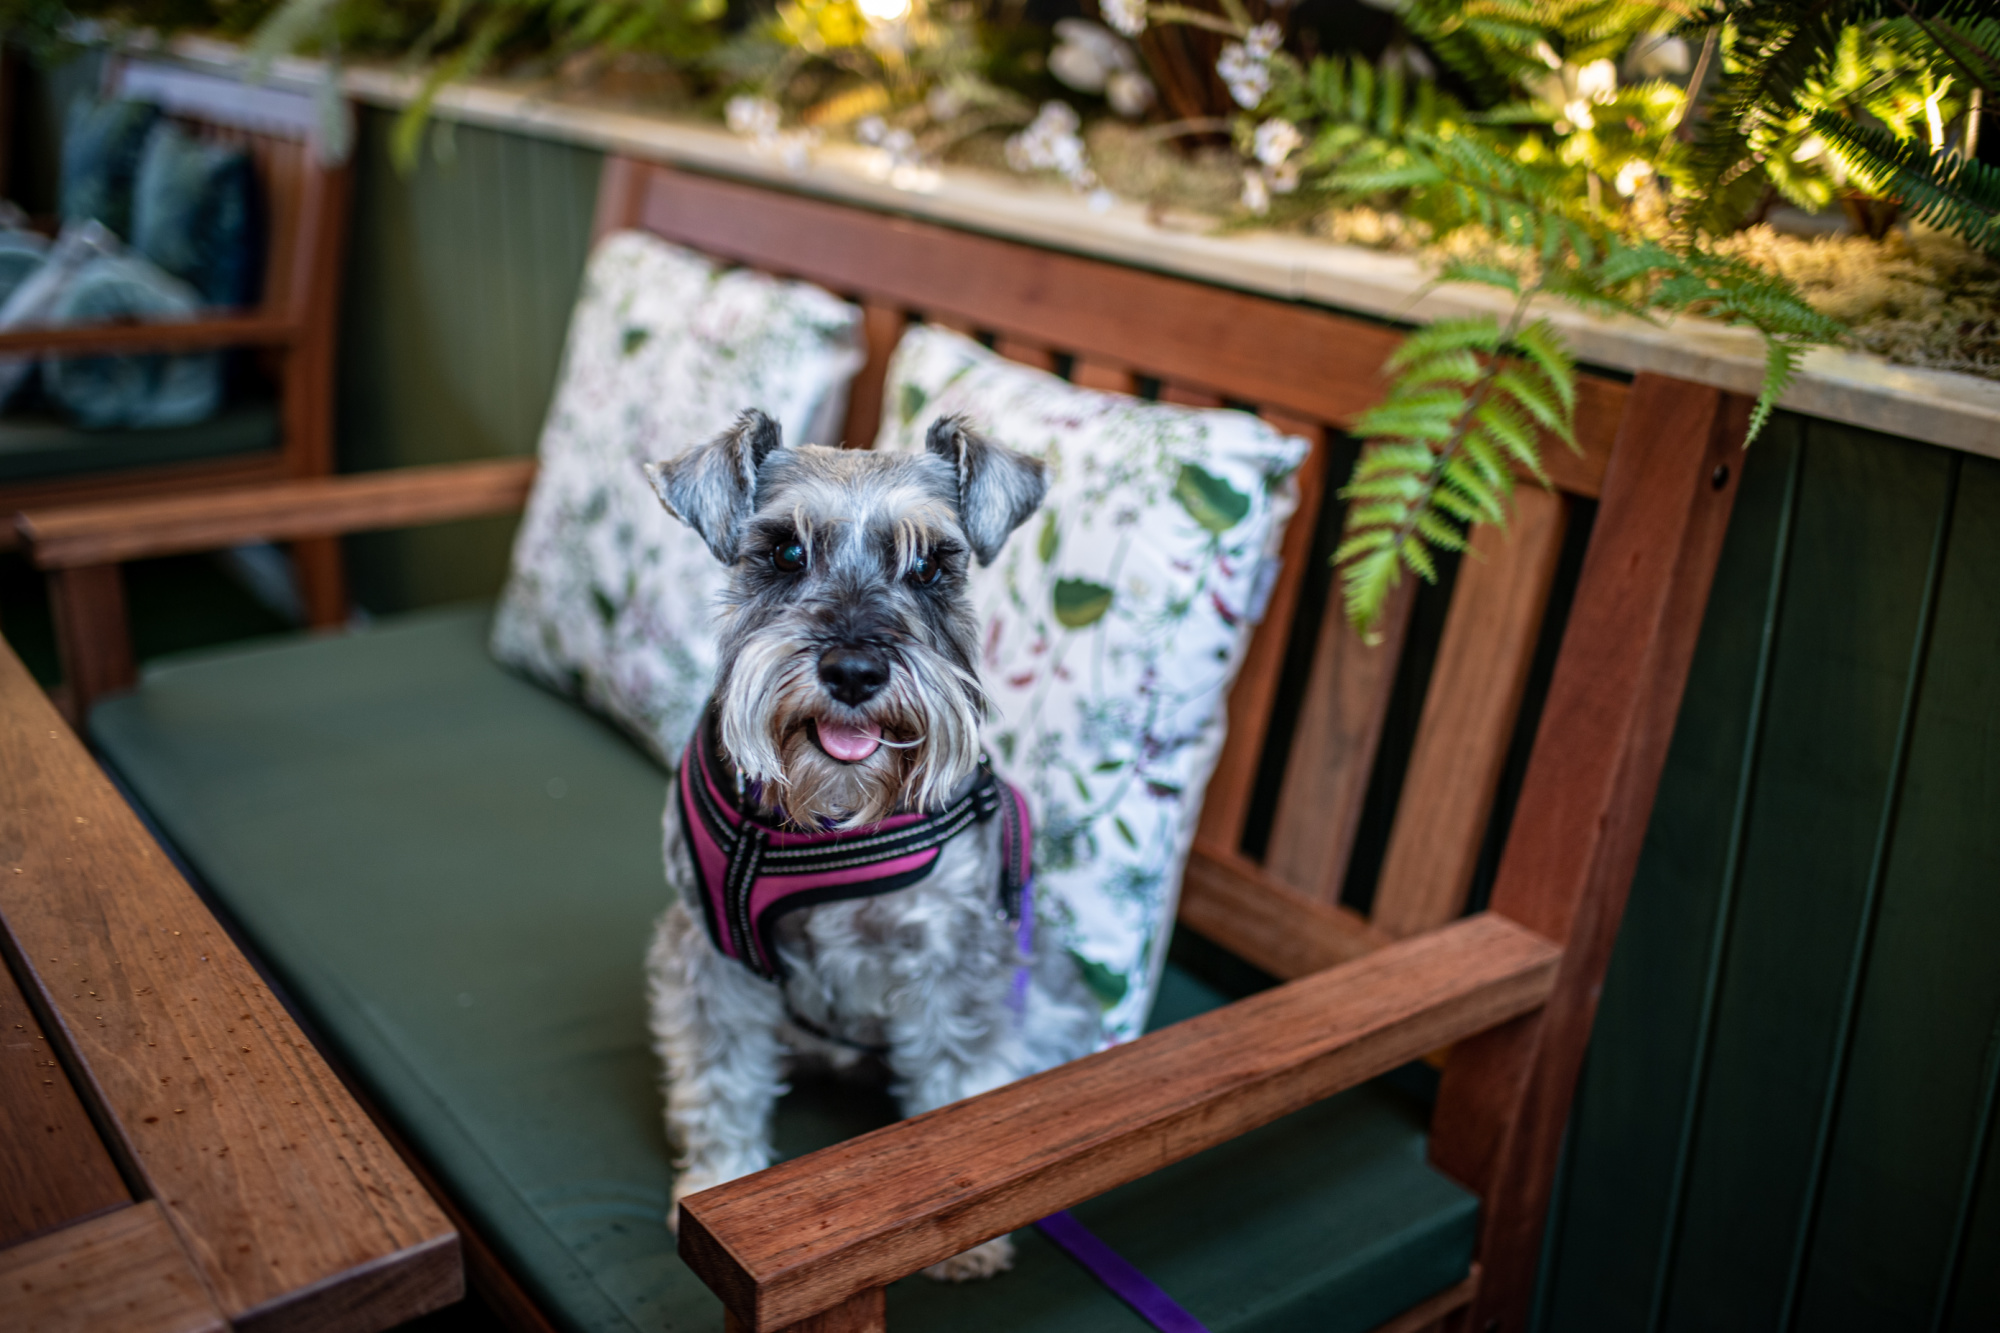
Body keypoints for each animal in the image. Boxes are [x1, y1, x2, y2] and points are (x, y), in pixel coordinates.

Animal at [640, 408, 1104, 1280]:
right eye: (784, 551)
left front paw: (974, 1237)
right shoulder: (711, 958)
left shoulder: (955, 965)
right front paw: (713, 1182)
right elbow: (720, 1079)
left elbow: (959, 1086)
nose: (854, 669)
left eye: (929, 565)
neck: (827, 812)